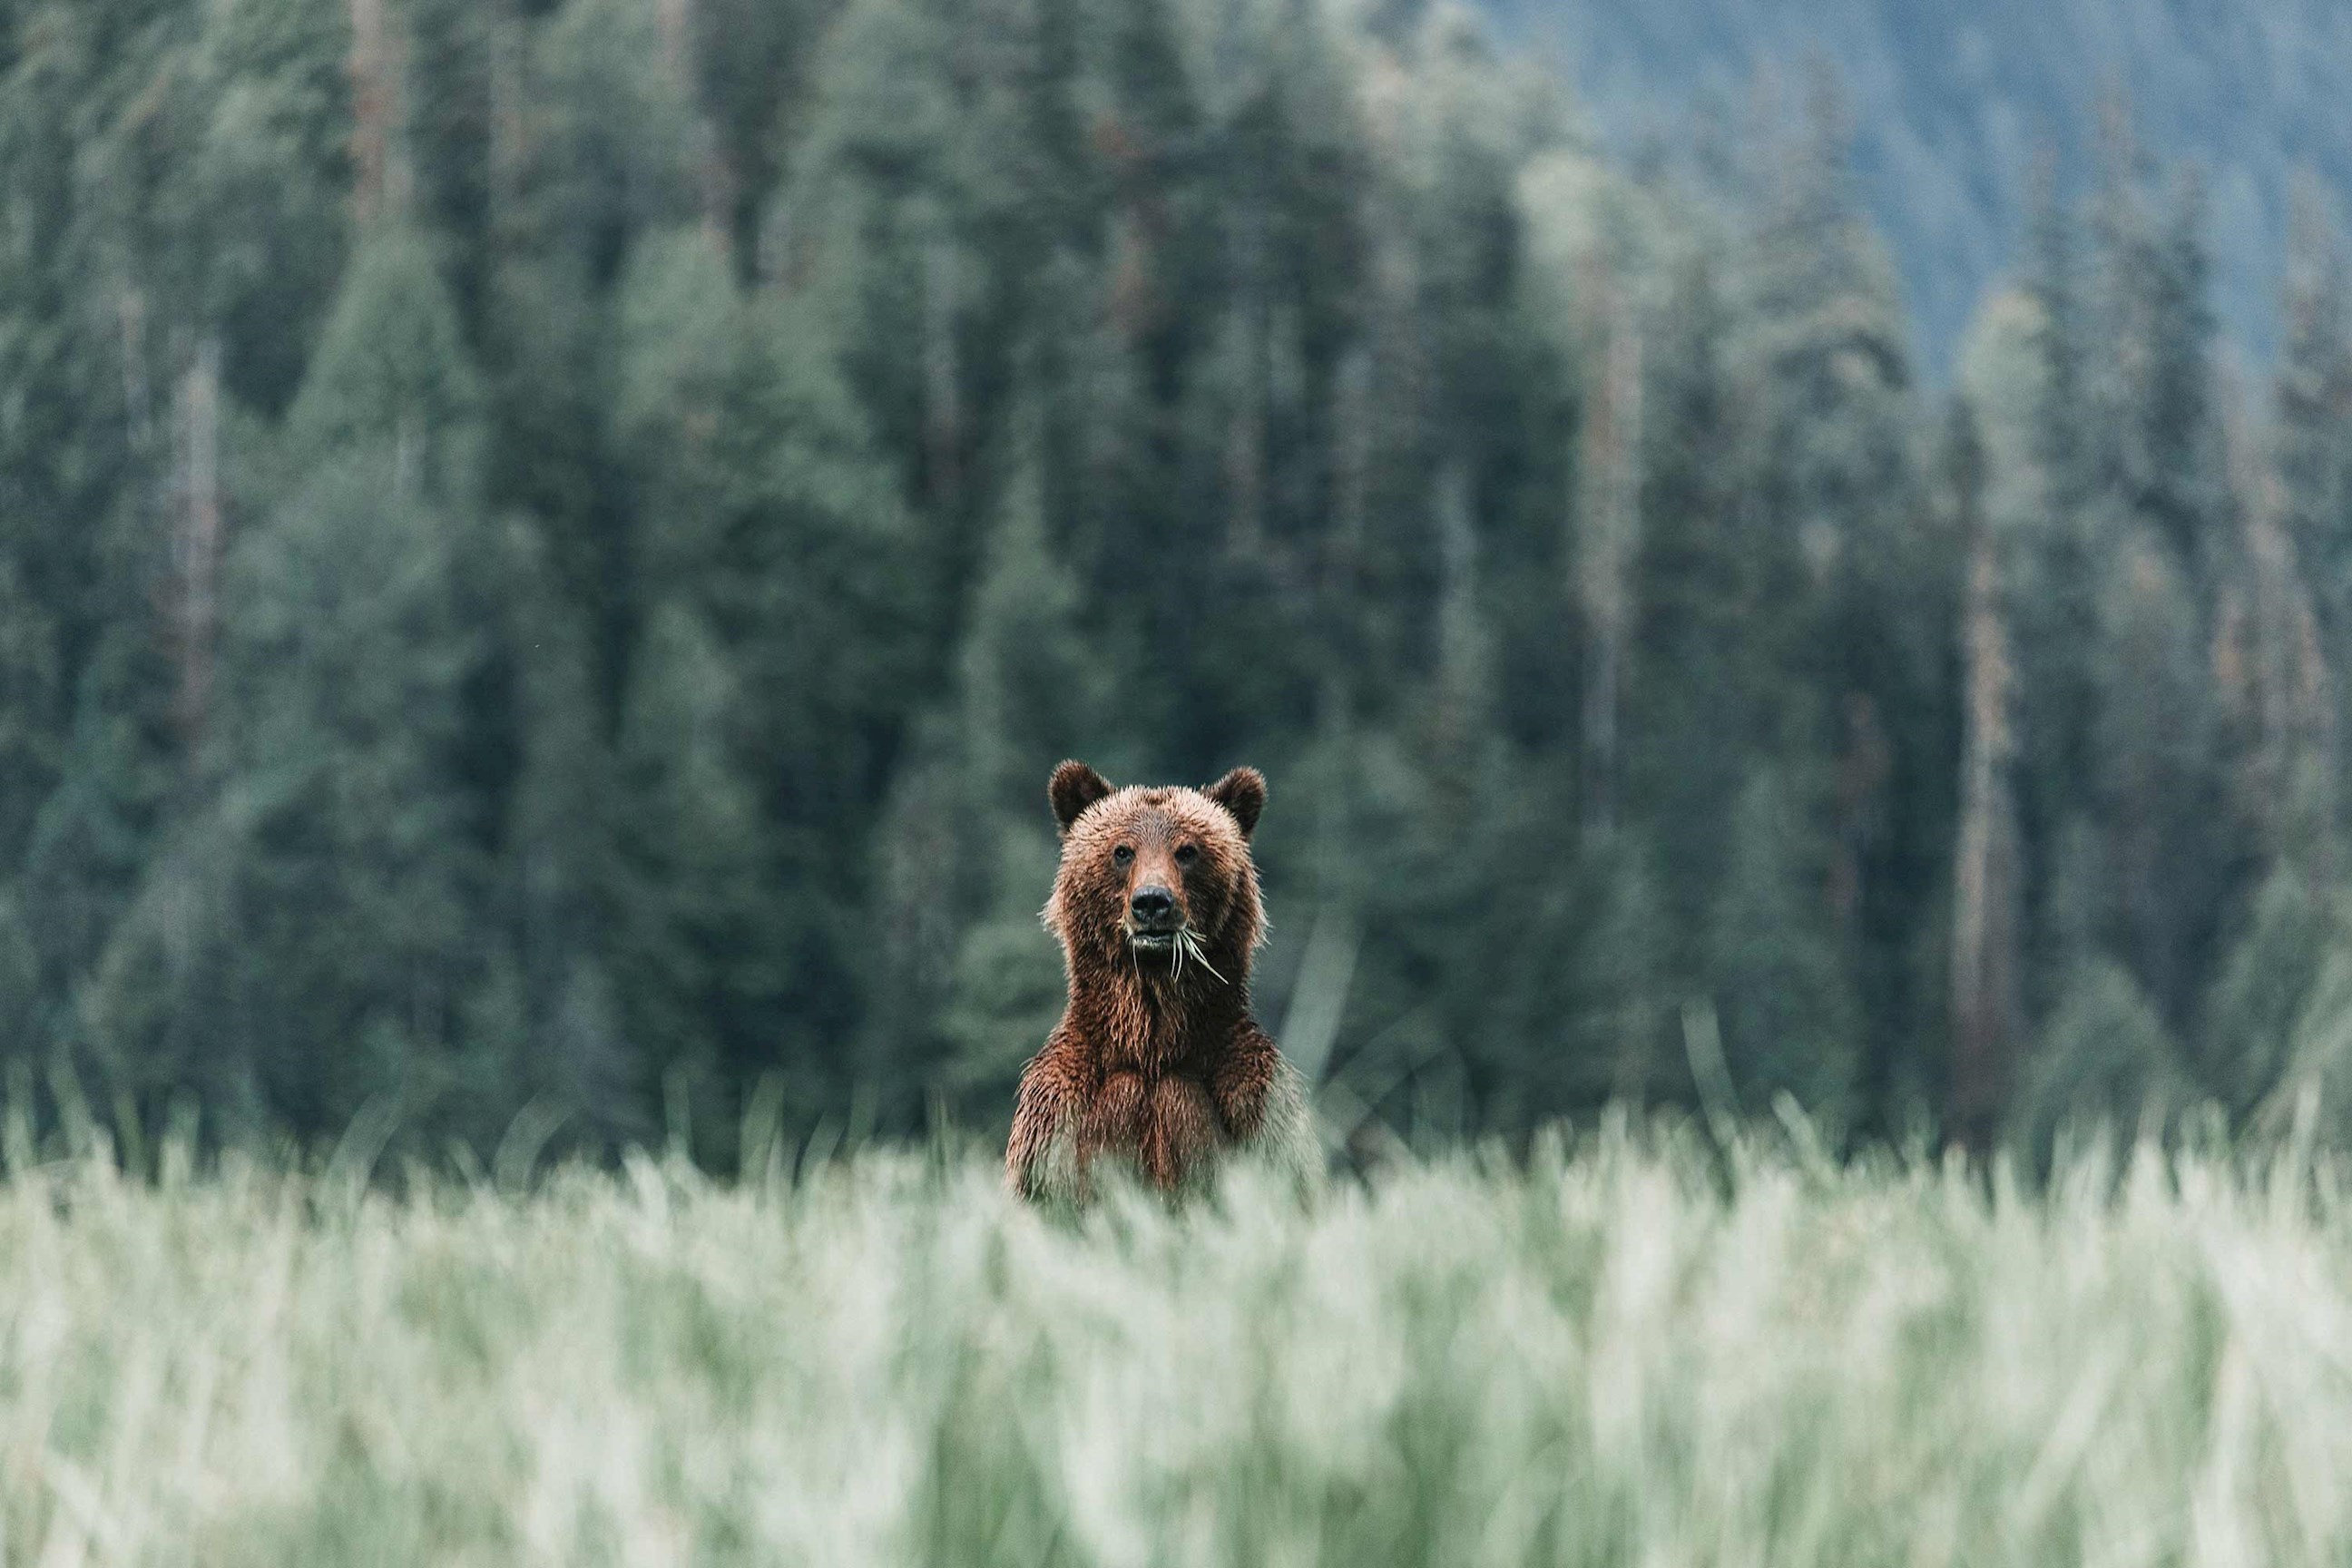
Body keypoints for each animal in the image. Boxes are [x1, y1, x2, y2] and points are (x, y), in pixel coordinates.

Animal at [1005, 760, 1315, 1201]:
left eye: (1187, 851)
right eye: (1122, 850)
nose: (1152, 901)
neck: (1152, 1044)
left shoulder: (1254, 1100)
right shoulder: (1056, 1114)